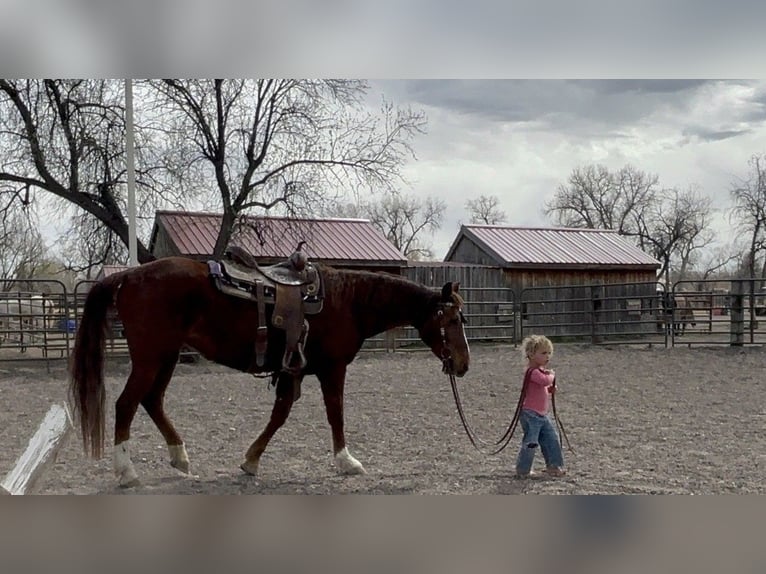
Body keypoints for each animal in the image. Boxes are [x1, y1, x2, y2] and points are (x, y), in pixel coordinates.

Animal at [68, 256, 470, 487]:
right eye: (451, 319)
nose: (463, 364)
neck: (348, 300)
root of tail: (128, 275)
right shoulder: (332, 368)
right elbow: (335, 412)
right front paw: (347, 461)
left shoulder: (294, 369)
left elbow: (280, 414)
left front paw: (251, 460)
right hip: (151, 358)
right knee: (126, 404)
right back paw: (127, 472)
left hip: (165, 357)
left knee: (152, 401)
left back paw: (179, 457)